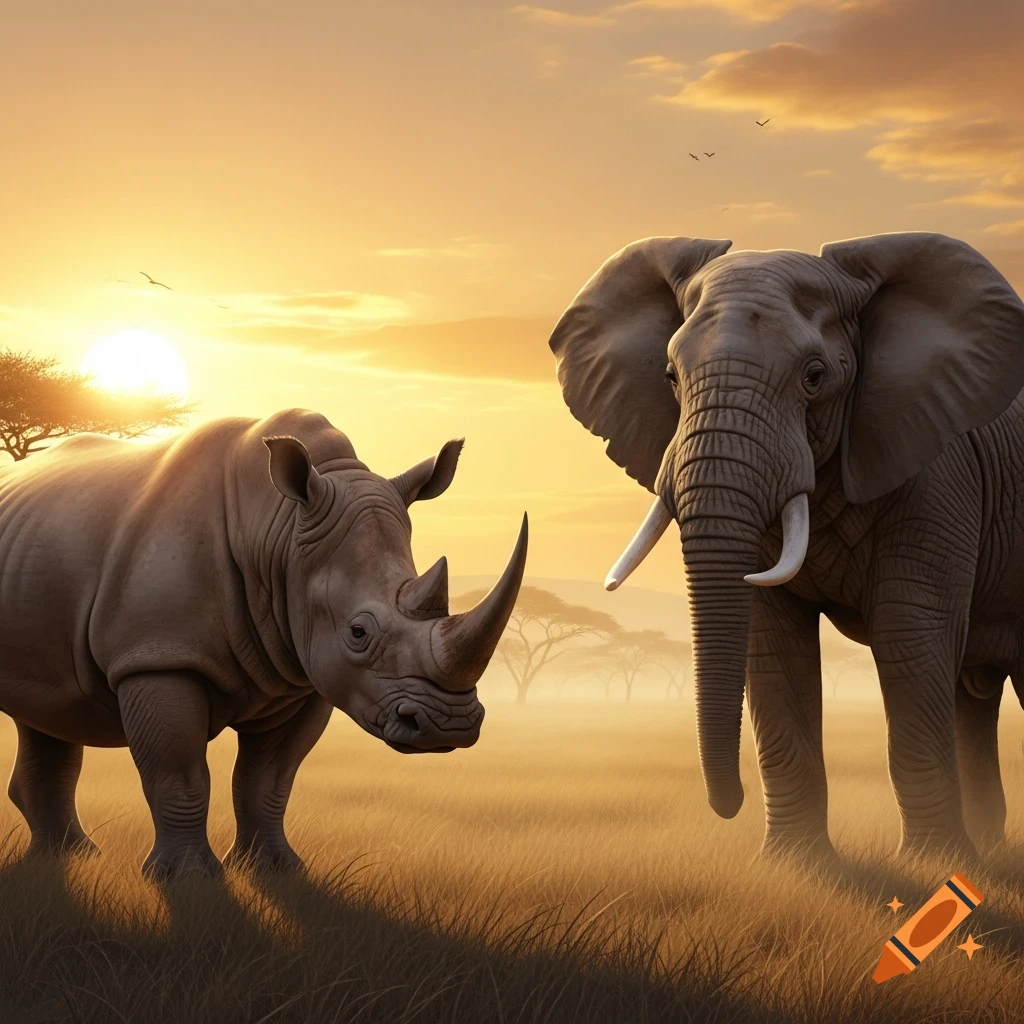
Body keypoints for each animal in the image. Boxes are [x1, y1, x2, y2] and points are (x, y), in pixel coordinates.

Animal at [0, 408, 528, 876]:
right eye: (358, 633)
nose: (450, 727)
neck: (278, 532)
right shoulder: (159, 657)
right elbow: (178, 774)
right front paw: (188, 879)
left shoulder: (299, 677)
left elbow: (268, 780)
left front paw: (275, 870)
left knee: (46, 714)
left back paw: (73, 857)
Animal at [549, 231, 1024, 860]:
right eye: (670, 376)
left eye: (814, 376)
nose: (728, 806)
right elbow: (772, 642)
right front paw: (796, 866)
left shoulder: (939, 472)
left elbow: (910, 632)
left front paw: (932, 864)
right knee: (975, 694)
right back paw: (989, 850)